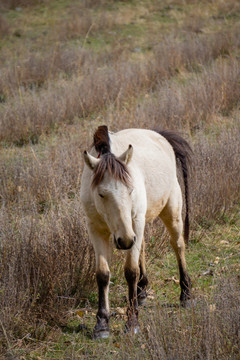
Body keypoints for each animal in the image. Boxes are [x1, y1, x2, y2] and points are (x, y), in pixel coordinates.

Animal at [79, 125, 192, 338]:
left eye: (130, 190)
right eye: (101, 194)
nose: (124, 240)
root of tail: (160, 136)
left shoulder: (134, 224)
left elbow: (131, 271)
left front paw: (131, 322)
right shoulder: (95, 229)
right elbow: (102, 274)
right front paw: (102, 324)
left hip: (169, 212)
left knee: (178, 245)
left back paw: (186, 294)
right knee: (143, 247)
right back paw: (141, 291)